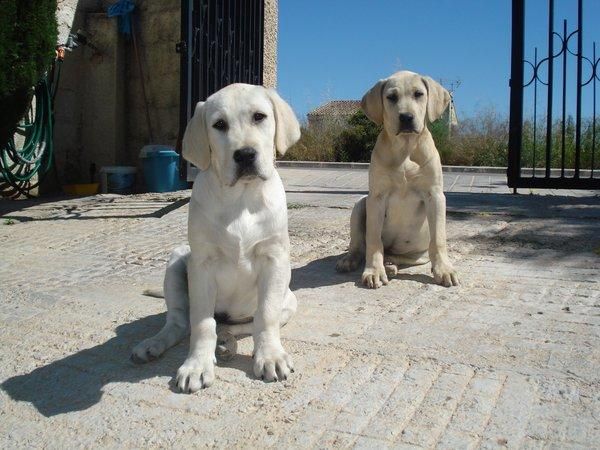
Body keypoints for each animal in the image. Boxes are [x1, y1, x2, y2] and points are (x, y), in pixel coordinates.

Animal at [131, 82, 300, 392]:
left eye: (259, 117)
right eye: (219, 124)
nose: (245, 155)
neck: (240, 198)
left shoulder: (274, 259)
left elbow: (266, 315)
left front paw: (270, 356)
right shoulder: (202, 265)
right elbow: (201, 323)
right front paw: (197, 365)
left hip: (289, 301)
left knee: (240, 325)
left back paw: (227, 343)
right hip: (176, 262)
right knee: (180, 322)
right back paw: (153, 344)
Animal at [338, 70, 460, 288]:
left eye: (419, 94)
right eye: (391, 97)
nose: (406, 117)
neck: (405, 147)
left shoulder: (435, 195)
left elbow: (439, 238)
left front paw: (444, 269)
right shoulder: (376, 198)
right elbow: (374, 240)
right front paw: (374, 271)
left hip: (417, 254)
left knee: (400, 256)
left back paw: (390, 265)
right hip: (360, 204)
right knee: (359, 245)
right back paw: (352, 260)